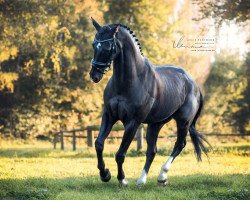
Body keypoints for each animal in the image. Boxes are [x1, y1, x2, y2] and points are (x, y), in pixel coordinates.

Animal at [90, 18, 209, 187]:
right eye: (94, 44)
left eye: (108, 46)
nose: (94, 75)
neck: (128, 81)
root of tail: (194, 84)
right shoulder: (109, 116)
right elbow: (99, 144)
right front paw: (105, 174)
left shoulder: (132, 122)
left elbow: (120, 154)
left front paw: (122, 179)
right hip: (156, 124)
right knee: (152, 150)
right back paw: (142, 180)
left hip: (183, 122)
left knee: (179, 145)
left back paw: (162, 176)